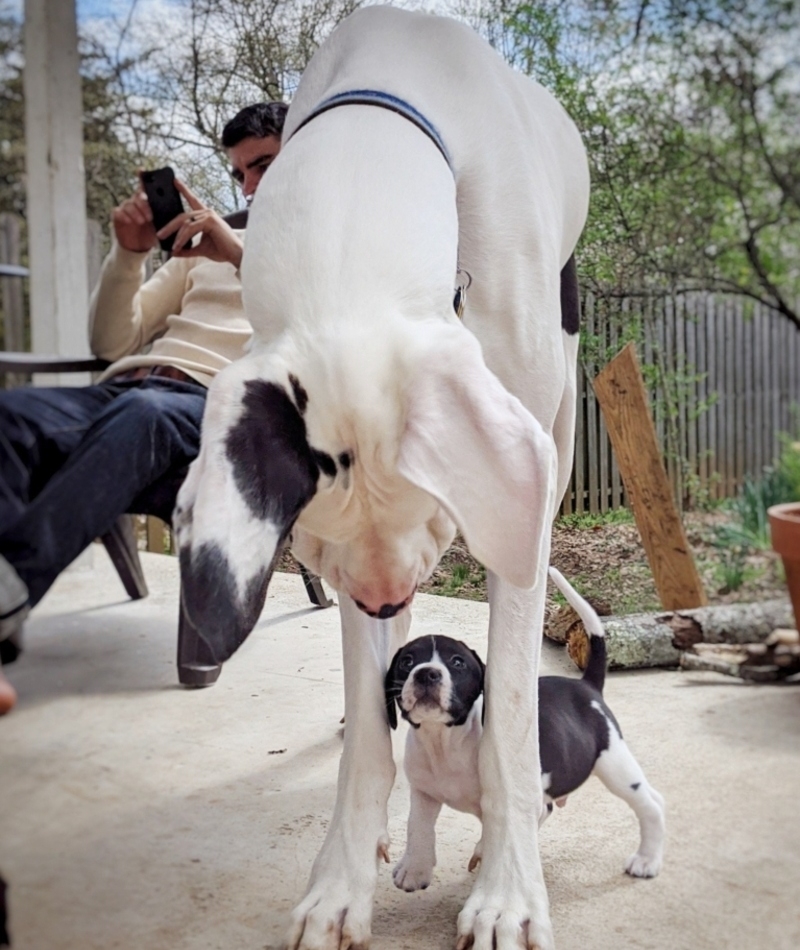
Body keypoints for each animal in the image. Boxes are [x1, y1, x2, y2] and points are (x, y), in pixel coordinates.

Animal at [175, 7, 588, 950]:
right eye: (315, 546)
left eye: (435, 514)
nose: (384, 599)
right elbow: (370, 734)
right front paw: (339, 884)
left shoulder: (513, 508)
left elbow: (510, 712)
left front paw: (508, 890)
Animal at [384, 564, 664, 892]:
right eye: (407, 661)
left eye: (457, 662)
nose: (426, 673)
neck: (445, 740)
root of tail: (586, 686)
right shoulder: (424, 792)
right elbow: (417, 826)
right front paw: (414, 869)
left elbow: (500, 832)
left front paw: (484, 855)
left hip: (614, 763)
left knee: (650, 804)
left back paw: (647, 860)